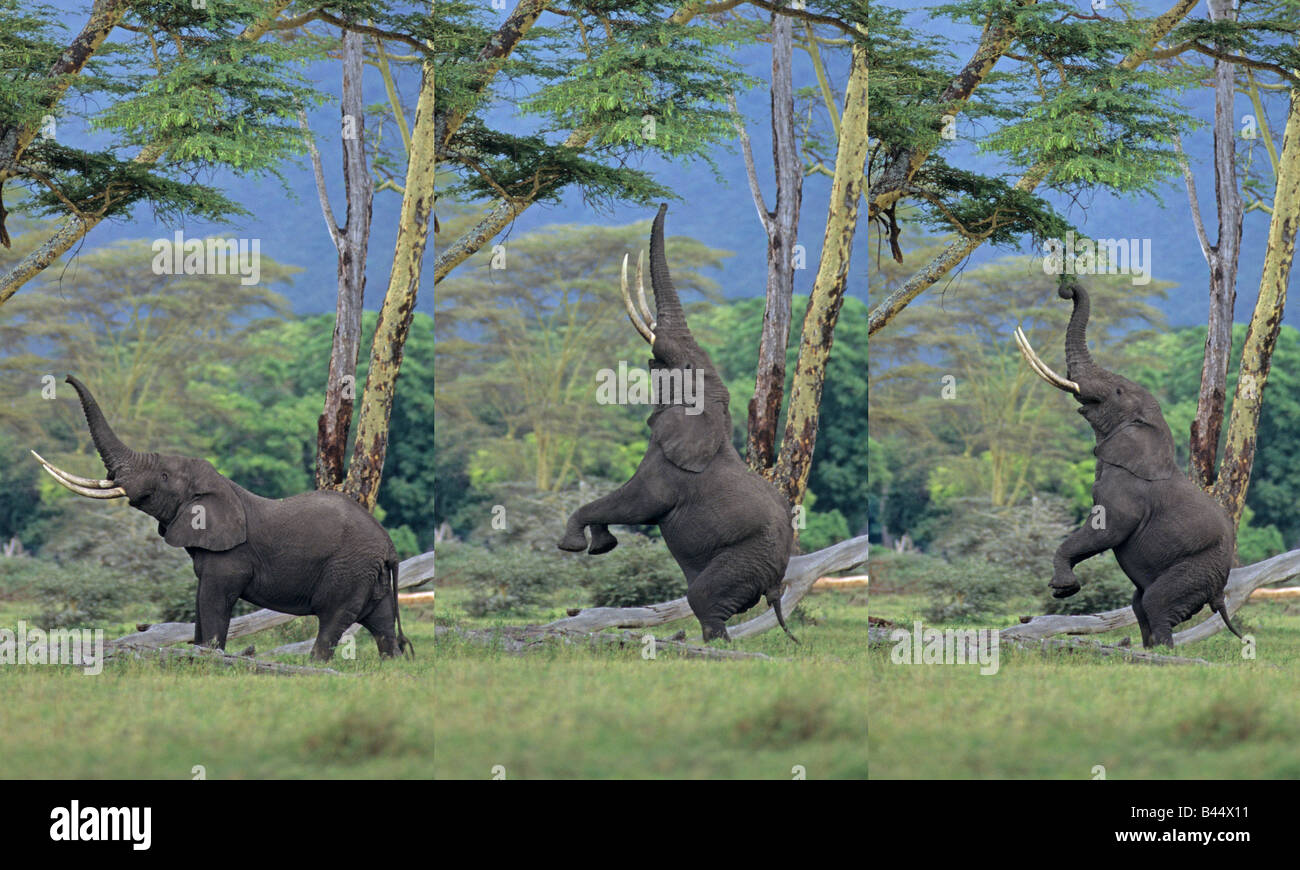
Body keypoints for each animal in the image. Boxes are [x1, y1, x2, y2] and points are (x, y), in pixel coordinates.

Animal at [34, 377, 410, 660]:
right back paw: (392, 665)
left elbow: (214, 600)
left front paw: (210, 657)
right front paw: (201, 654)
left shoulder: (231, 557)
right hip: (368, 573)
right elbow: (201, 601)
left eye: (164, 477)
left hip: (349, 569)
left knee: (334, 619)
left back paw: (316, 665)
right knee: (381, 623)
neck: (220, 484)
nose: (64, 378)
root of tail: (390, 547)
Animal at [553, 201, 795, 637]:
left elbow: (636, 504)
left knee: (703, 600)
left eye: (683, 367)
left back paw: (712, 645)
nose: (665, 203)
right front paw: (601, 544)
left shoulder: (669, 474)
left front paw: (576, 545)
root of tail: (777, 586)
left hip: (747, 558)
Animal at [1013, 282, 1237, 647]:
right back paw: (1147, 650)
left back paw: (1162, 653)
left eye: (1117, 391)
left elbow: (1108, 529)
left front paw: (1063, 589)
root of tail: (1221, 590)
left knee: (1155, 601)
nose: (1067, 288)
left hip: (1199, 565)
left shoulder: (1126, 494)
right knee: (1139, 603)